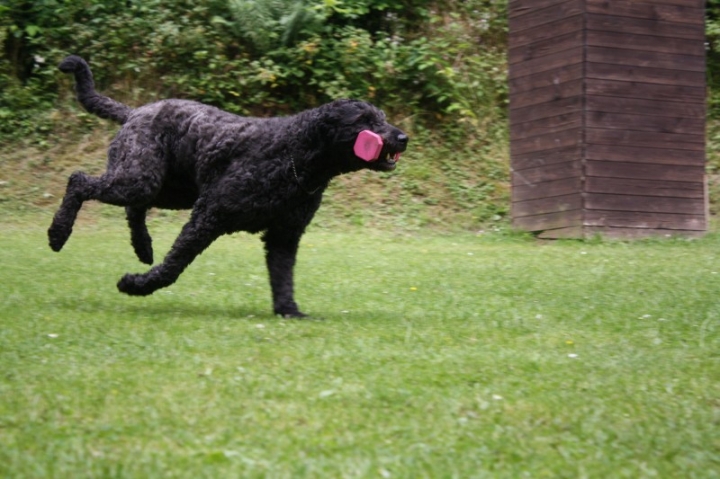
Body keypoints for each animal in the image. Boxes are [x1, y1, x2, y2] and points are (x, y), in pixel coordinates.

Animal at [49, 56, 410, 318]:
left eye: (381, 117)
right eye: (365, 121)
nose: (403, 137)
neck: (294, 155)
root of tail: (135, 111)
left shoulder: (283, 235)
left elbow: (283, 279)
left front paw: (289, 311)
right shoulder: (209, 216)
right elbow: (173, 265)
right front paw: (136, 285)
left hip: (165, 188)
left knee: (132, 208)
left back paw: (143, 247)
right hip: (141, 180)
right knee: (79, 181)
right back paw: (58, 234)